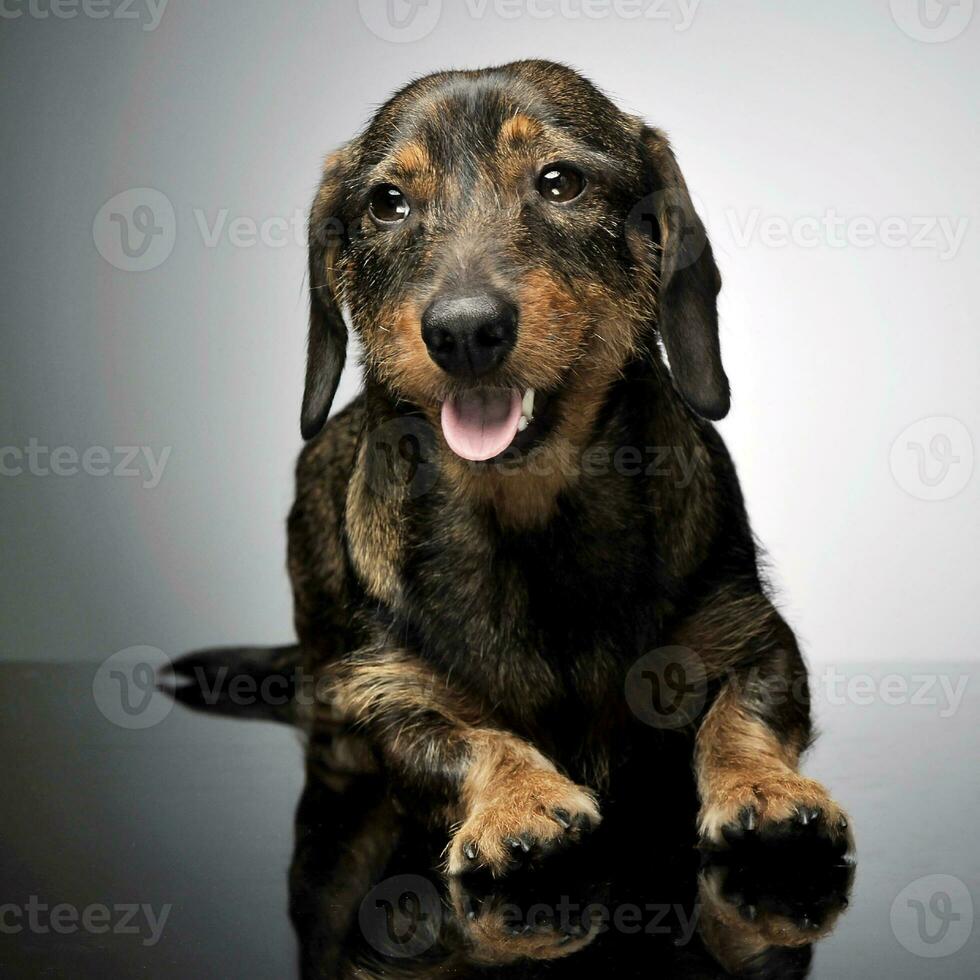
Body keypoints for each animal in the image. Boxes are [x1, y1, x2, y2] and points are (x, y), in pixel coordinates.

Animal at [243, 57, 848, 876]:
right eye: (387, 203)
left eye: (560, 182)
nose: (465, 331)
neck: (531, 509)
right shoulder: (389, 691)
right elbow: (467, 740)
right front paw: (519, 799)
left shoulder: (753, 634)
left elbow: (742, 713)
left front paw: (764, 787)